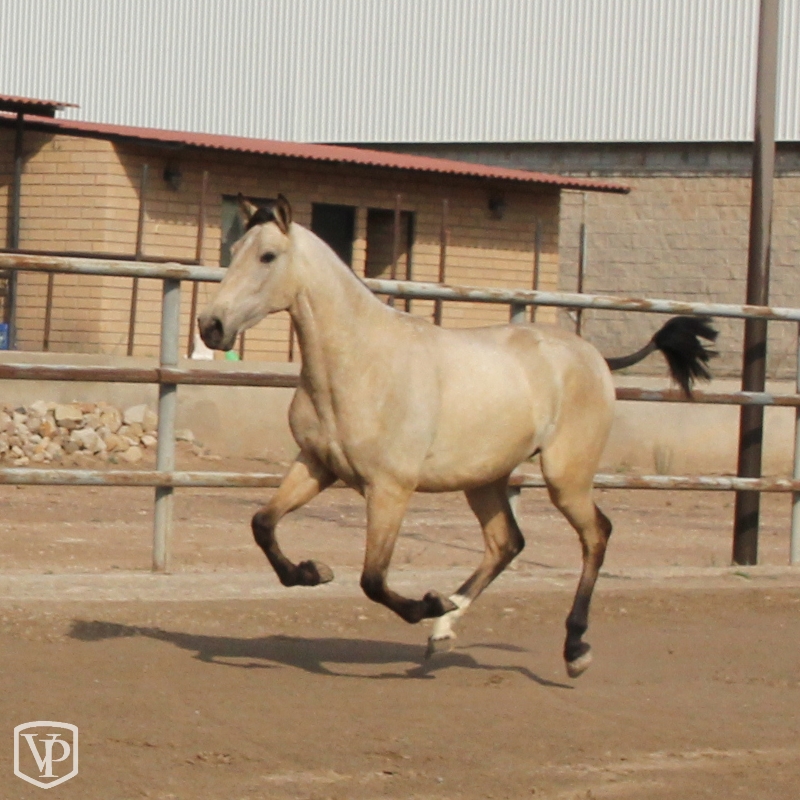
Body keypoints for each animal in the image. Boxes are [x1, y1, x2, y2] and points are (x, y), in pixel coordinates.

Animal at [198, 195, 717, 678]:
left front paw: (424, 602)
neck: (360, 362)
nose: (211, 326)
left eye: (268, 256)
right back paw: (443, 631)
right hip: (485, 480)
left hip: (566, 476)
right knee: (506, 544)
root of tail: (594, 358)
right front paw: (311, 572)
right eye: (235, 248)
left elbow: (373, 578)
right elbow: (263, 523)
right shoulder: (316, 464)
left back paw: (573, 650)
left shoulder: (390, 488)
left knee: (596, 534)